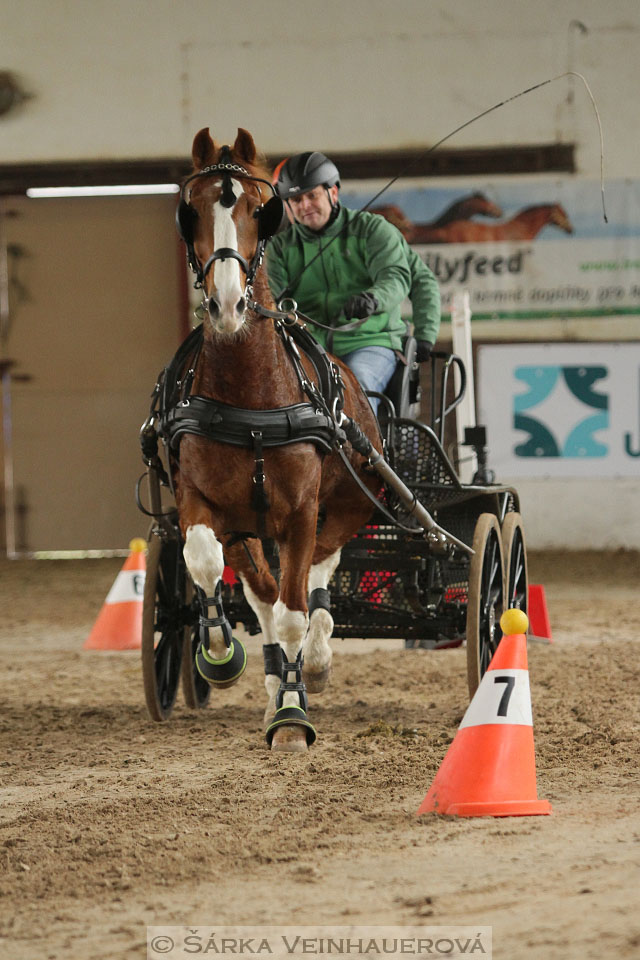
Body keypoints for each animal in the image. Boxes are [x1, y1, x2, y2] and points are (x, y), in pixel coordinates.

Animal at [168, 127, 382, 752]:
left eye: (259, 211)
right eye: (190, 210)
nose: (227, 304)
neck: (253, 401)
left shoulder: (302, 511)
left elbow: (295, 609)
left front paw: (292, 713)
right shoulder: (198, 499)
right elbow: (203, 561)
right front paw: (219, 652)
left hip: (346, 504)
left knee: (316, 578)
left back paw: (314, 661)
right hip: (248, 524)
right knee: (261, 590)